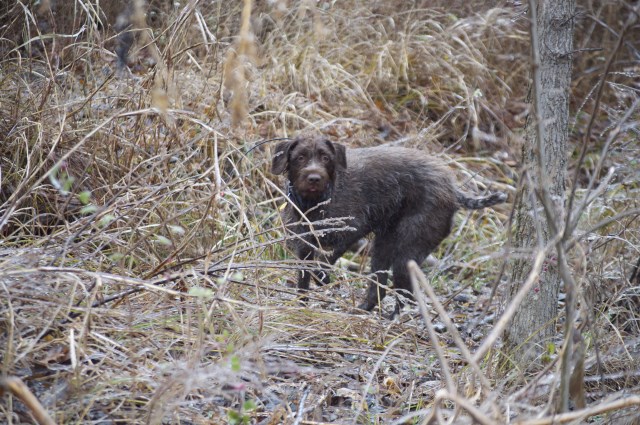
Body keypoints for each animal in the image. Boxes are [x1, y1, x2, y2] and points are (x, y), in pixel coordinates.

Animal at [272, 134, 508, 316]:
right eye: (300, 157)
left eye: (325, 157)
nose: (314, 178)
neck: (315, 203)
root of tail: (452, 189)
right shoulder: (303, 245)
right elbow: (304, 281)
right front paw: (301, 306)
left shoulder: (354, 228)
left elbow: (324, 261)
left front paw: (322, 276)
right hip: (383, 248)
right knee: (380, 289)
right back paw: (364, 310)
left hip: (406, 253)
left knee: (406, 294)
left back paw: (395, 319)